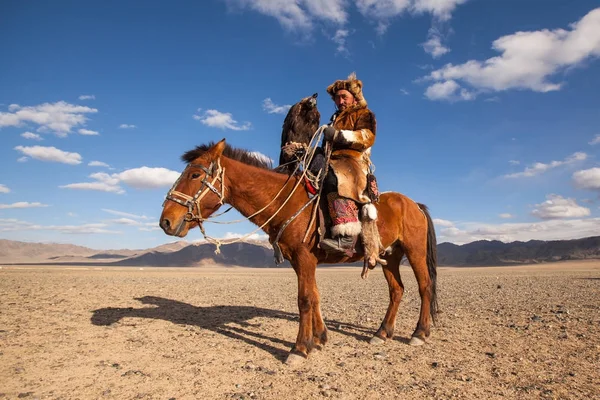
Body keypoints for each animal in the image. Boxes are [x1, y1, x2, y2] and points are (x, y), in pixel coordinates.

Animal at [159, 140, 438, 366]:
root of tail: (414, 205)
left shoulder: (304, 257)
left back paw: (419, 333)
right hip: (389, 256)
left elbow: (304, 299)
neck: (285, 202)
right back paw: (382, 333)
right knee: (397, 291)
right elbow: (314, 296)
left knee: (424, 286)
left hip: (414, 251)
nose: (166, 222)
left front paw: (300, 348)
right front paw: (319, 338)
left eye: (195, 174)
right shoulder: (299, 260)